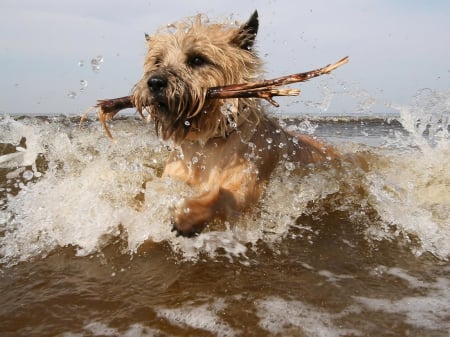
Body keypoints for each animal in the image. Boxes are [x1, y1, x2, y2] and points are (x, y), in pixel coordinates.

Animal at [131, 11, 338, 236]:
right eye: (157, 61)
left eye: (197, 59)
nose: (155, 82)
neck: (206, 143)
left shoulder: (248, 193)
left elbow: (223, 196)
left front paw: (188, 215)